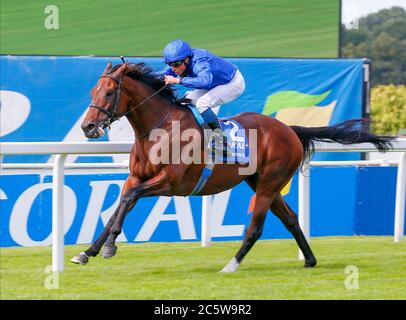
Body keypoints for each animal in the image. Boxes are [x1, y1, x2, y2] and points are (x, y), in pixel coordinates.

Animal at [70, 61, 394, 272]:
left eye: (109, 93)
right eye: (92, 91)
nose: (87, 127)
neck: (158, 129)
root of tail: (288, 129)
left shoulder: (170, 183)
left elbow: (128, 199)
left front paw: (109, 247)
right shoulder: (136, 177)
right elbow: (120, 205)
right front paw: (88, 251)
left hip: (268, 184)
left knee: (256, 227)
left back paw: (231, 264)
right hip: (262, 182)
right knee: (290, 218)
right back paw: (310, 260)